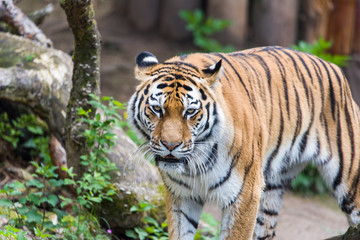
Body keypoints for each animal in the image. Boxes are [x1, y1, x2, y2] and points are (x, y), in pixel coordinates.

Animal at [127, 46, 360, 239]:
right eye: (157, 109)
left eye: (190, 112)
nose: (170, 145)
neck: (195, 161)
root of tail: (334, 67)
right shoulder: (182, 196)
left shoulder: (245, 195)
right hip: (271, 189)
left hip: (351, 182)